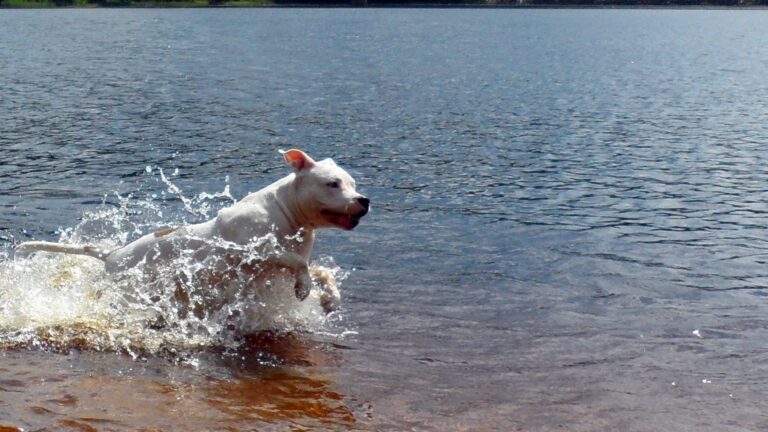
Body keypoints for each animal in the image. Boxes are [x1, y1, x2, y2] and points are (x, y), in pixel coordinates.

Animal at [15, 150, 368, 316]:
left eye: (353, 183)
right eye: (332, 183)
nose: (364, 200)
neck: (286, 212)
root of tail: (111, 255)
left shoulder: (278, 262)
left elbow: (316, 269)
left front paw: (328, 298)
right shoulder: (251, 249)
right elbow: (297, 261)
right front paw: (305, 286)